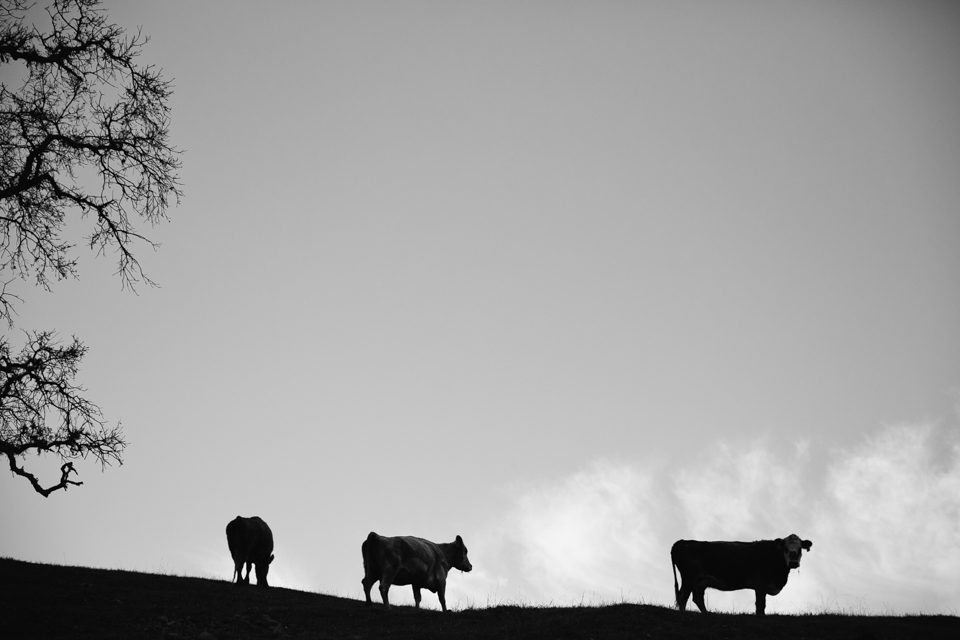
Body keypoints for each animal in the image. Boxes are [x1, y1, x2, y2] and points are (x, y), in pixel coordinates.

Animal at [672, 528, 812, 616]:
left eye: (800, 548)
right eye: (785, 548)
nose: (793, 562)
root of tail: (681, 542)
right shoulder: (760, 583)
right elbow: (760, 604)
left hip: (700, 582)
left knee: (697, 598)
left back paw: (707, 613)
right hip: (689, 578)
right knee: (683, 596)